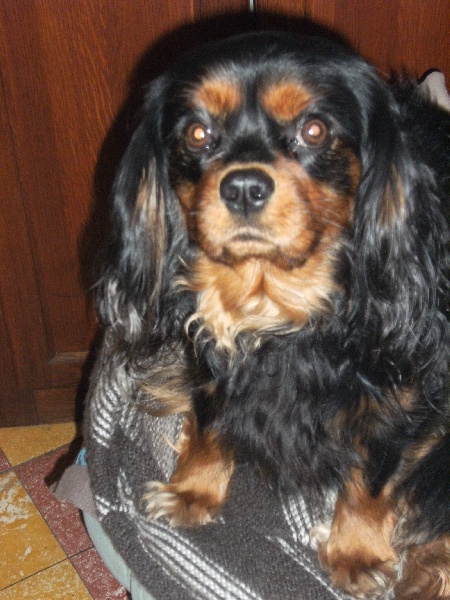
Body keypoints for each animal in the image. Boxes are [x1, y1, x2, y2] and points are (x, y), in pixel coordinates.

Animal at [96, 32, 450, 599]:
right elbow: (210, 420)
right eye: (198, 133)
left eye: (314, 129)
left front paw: (356, 553)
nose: (243, 186)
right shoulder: (209, 358)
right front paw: (192, 491)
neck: (274, 308)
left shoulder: (400, 396)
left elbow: (373, 478)